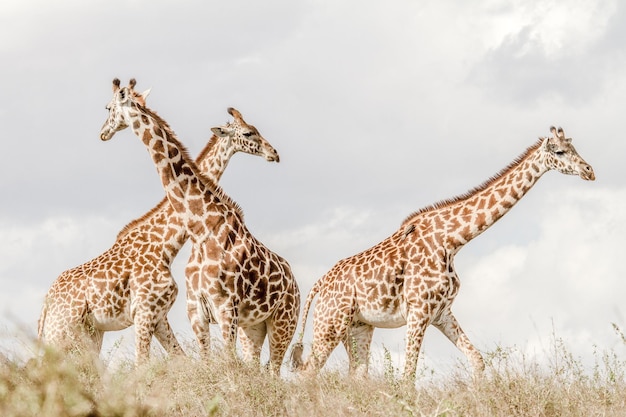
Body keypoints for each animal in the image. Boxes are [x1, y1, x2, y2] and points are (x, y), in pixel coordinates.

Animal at [38, 96, 278, 362]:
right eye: (248, 132)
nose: (273, 153)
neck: (165, 242)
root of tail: (46, 304)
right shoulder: (145, 311)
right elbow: (143, 363)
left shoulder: (159, 315)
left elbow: (181, 359)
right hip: (61, 332)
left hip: (90, 333)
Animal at [98, 79, 300, 370]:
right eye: (248, 133)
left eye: (107, 107)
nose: (274, 153)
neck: (202, 229)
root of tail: (295, 283)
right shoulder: (196, 309)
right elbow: (207, 360)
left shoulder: (225, 307)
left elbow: (227, 361)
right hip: (254, 326)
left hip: (283, 321)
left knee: (273, 370)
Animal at [290, 126, 592, 380]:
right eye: (560, 151)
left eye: (574, 147)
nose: (589, 171)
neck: (452, 241)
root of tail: (318, 284)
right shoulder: (418, 311)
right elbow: (408, 377)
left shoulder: (441, 313)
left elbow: (477, 360)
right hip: (331, 323)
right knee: (307, 373)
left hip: (358, 326)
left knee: (356, 375)